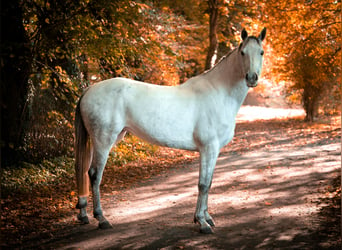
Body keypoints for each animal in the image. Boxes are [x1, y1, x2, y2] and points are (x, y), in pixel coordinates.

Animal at [75, 28, 268, 233]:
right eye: (243, 53)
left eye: (261, 52)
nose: (252, 78)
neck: (220, 93)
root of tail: (89, 90)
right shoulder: (208, 148)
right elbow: (203, 184)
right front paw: (202, 222)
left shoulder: (213, 151)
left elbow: (209, 182)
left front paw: (206, 217)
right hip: (103, 140)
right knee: (94, 174)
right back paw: (101, 218)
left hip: (98, 140)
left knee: (85, 171)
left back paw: (84, 215)